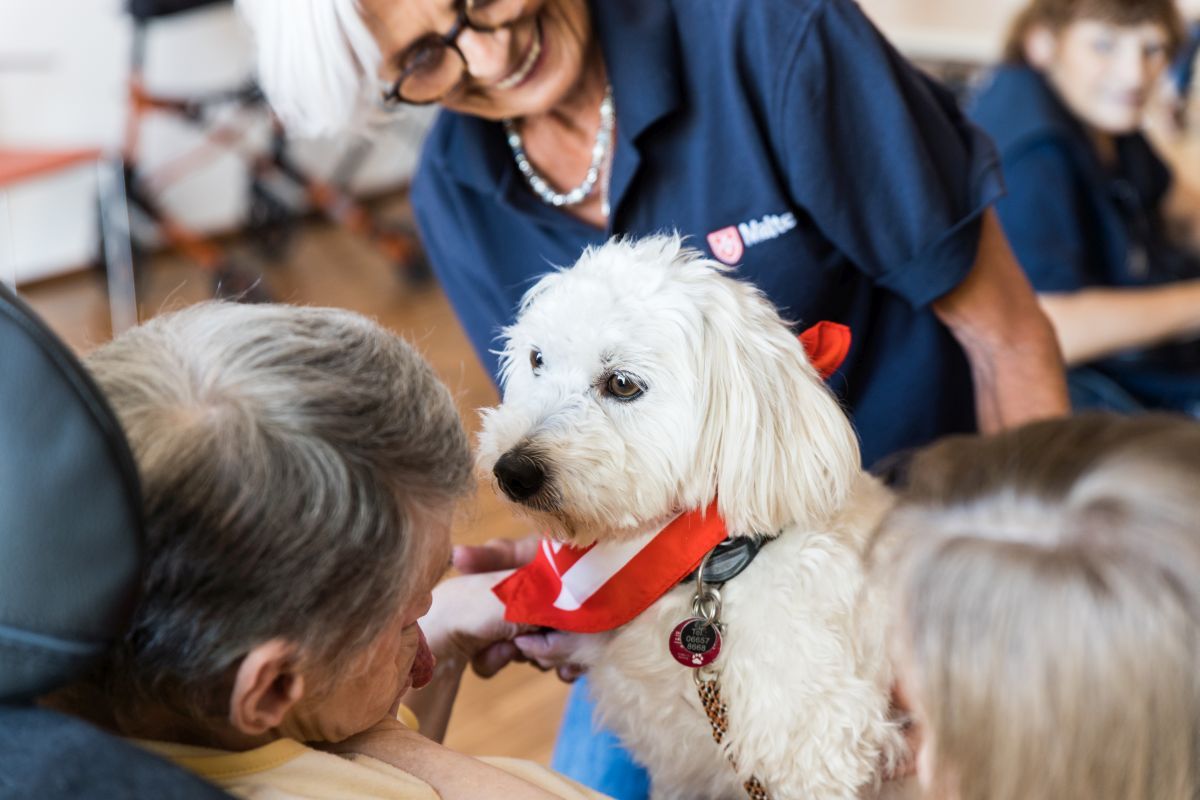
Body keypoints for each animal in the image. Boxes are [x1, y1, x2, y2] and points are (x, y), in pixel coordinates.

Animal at [477, 237, 907, 800]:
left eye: (622, 383)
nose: (512, 472)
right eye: (537, 359)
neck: (706, 567)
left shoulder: (822, 750)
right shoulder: (683, 767)